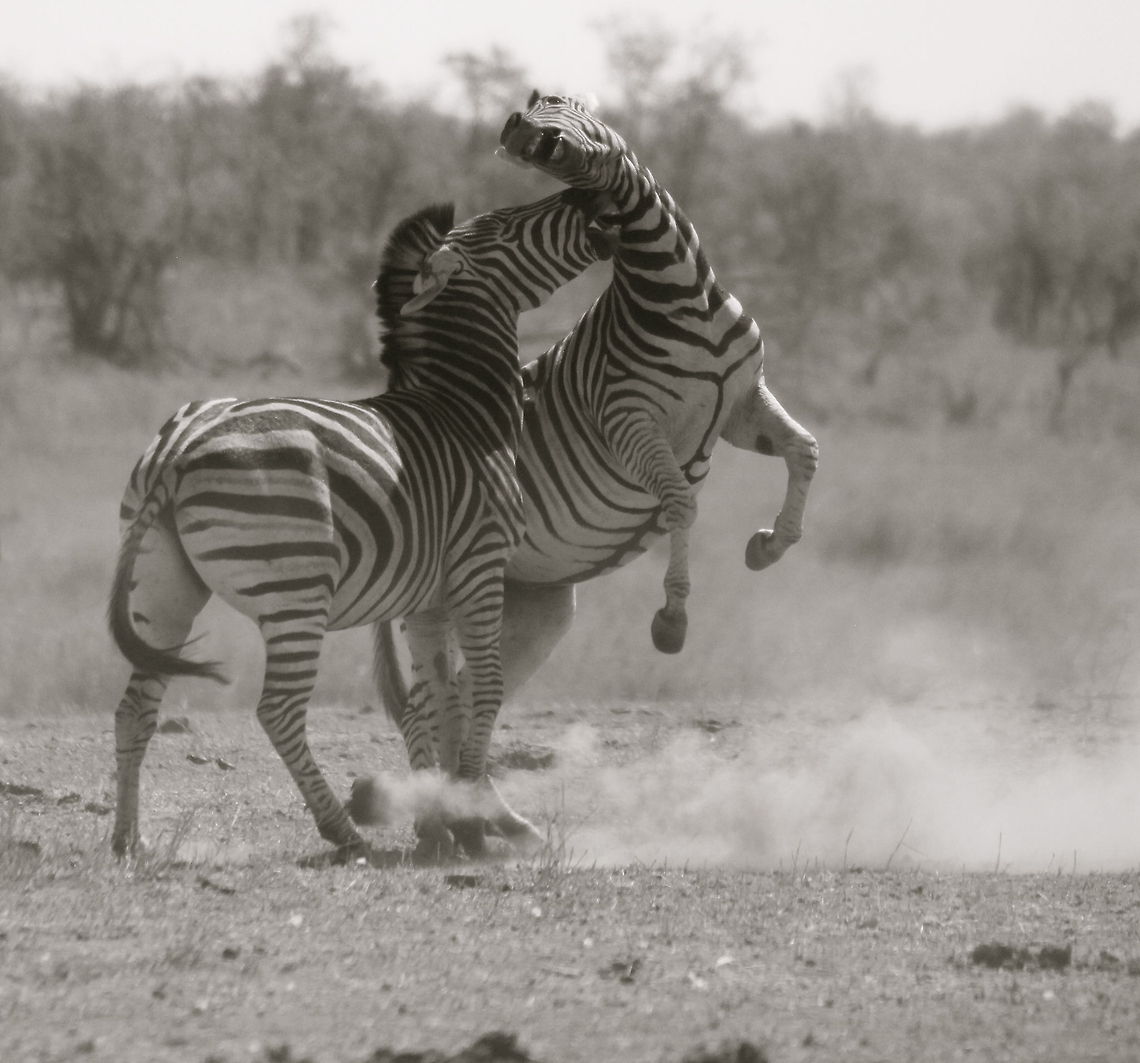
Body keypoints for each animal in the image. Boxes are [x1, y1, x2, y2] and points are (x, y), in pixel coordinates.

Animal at [108, 187, 613, 862]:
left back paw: (128, 839)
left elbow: (434, 700)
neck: (466, 411)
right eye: (508, 226)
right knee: (279, 711)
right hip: (294, 589)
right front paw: (470, 824)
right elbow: (484, 686)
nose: (589, 197)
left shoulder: (426, 597)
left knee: (136, 706)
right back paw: (343, 833)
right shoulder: (480, 568)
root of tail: (182, 444)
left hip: (164, 585)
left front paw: (439, 824)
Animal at [375, 92, 818, 717]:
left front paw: (770, 545)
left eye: (561, 104)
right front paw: (672, 620)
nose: (523, 134)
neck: (684, 299)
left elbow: (804, 450)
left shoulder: (741, 405)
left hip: (535, 606)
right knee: (428, 694)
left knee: (468, 689)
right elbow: (681, 504)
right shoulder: (625, 417)